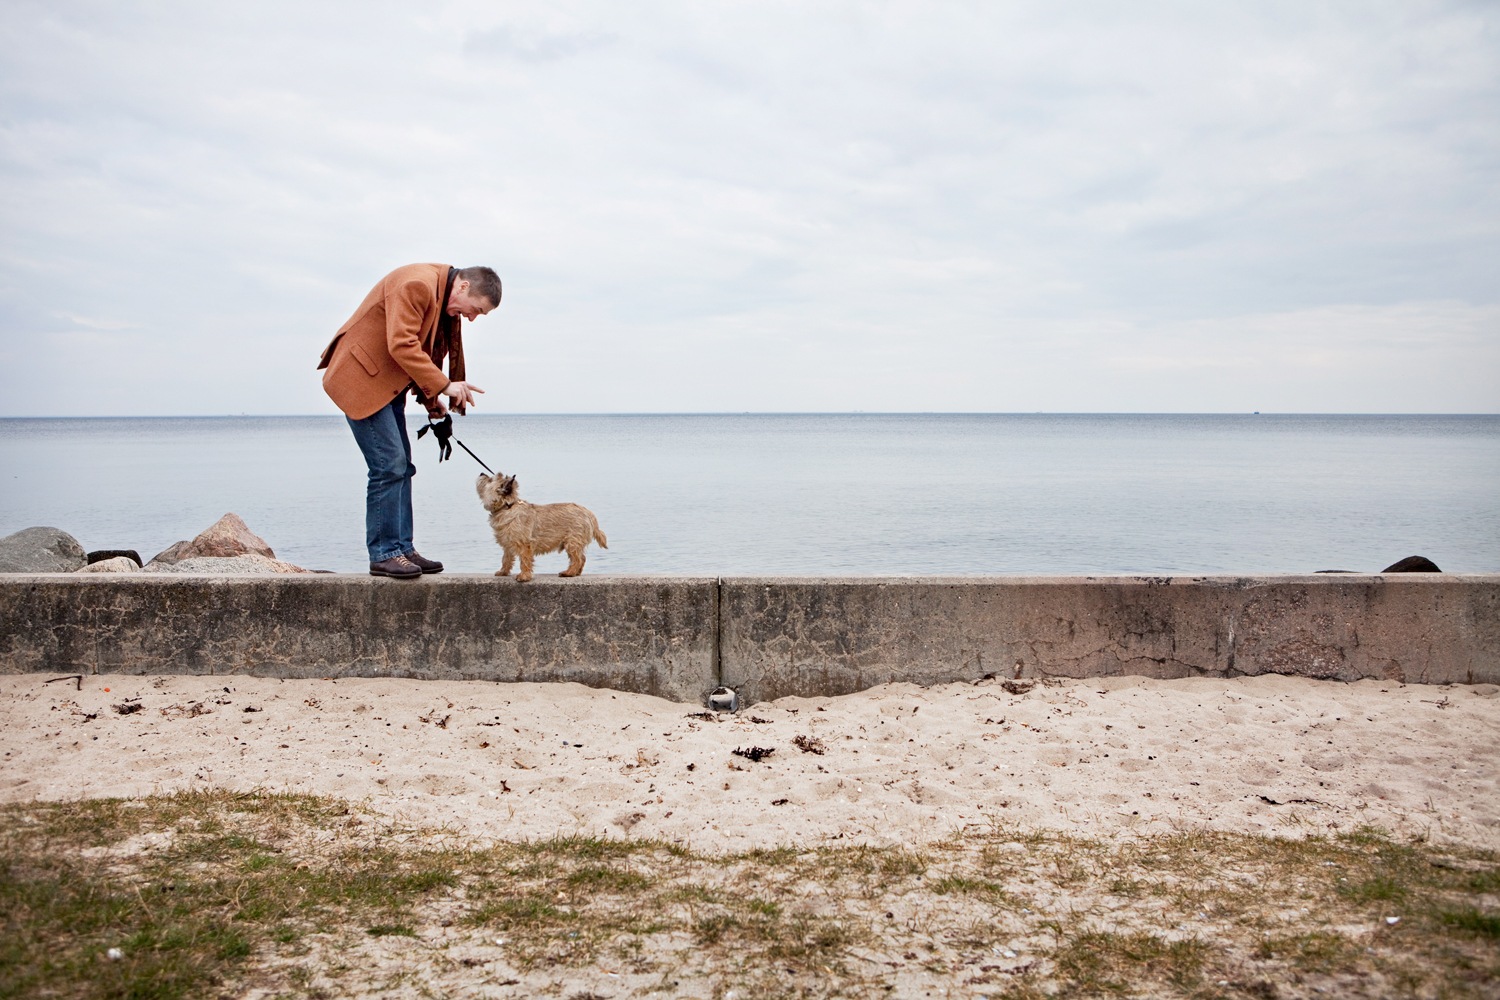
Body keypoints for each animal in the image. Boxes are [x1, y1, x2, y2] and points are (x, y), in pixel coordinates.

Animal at [471, 473, 606, 581]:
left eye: (490, 480)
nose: (482, 473)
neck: (507, 507)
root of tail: (588, 513)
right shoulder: (508, 543)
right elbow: (506, 559)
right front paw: (503, 571)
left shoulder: (524, 544)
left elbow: (525, 560)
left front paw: (524, 576)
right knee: (582, 558)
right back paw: (576, 572)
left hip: (572, 542)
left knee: (577, 559)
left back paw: (569, 573)